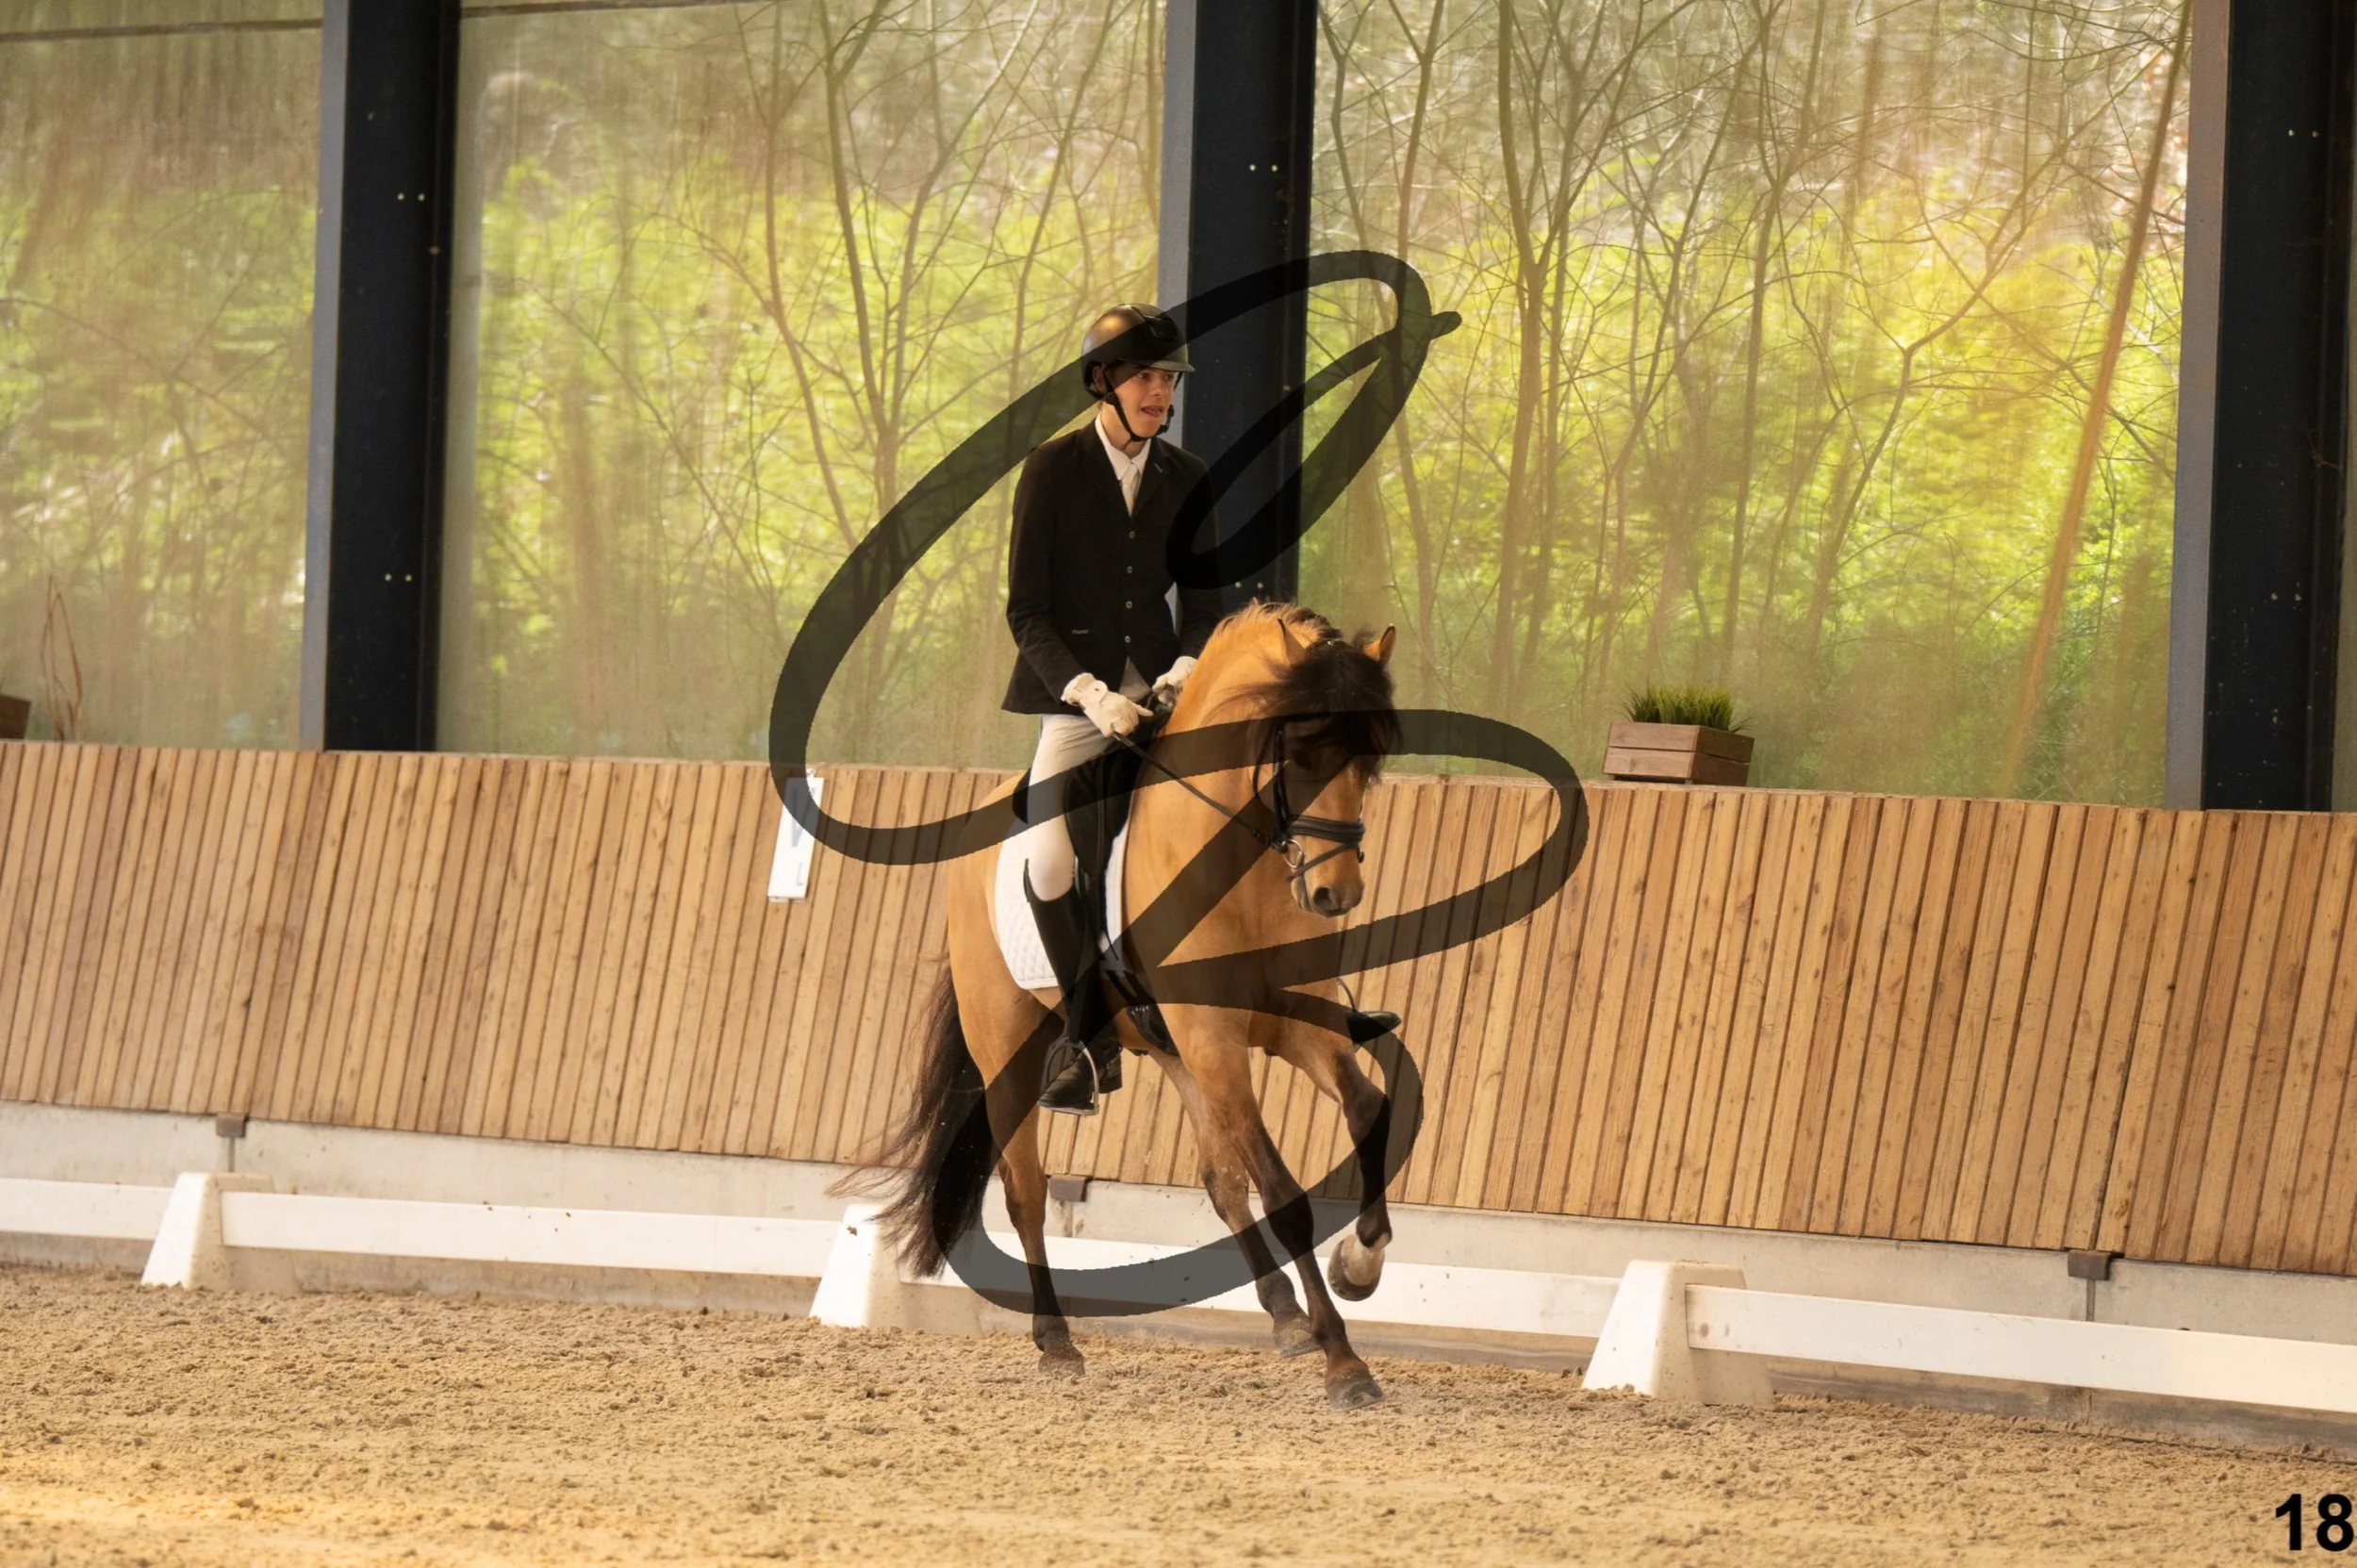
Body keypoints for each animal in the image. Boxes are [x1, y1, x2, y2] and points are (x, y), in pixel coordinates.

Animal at [862, 602, 1404, 1409]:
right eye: (1299, 754)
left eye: (1369, 760)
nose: (1333, 894)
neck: (1235, 861)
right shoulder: (1215, 1038)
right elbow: (1284, 1191)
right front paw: (1344, 1360)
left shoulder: (1284, 1025)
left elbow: (1368, 1111)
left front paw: (1357, 1268)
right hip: (1011, 1055)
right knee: (1026, 1191)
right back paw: (1057, 1341)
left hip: (1172, 1049)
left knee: (1220, 1176)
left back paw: (1284, 1315)